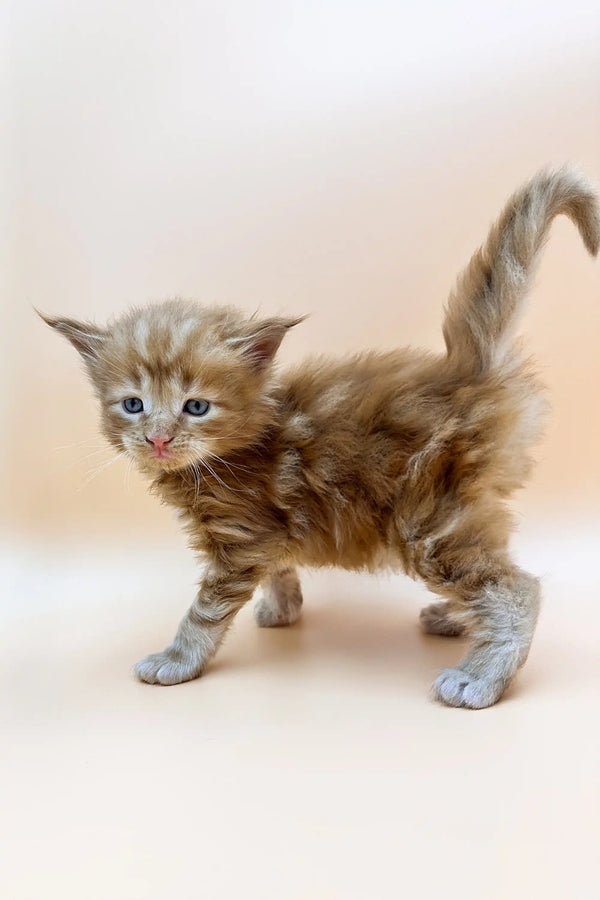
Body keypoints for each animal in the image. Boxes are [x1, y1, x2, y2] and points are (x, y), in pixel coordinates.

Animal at [39, 165, 596, 708]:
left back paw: (479, 676)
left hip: (428, 521)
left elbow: (204, 611)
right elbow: (280, 565)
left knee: (517, 588)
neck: (235, 450)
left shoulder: (240, 537)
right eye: (133, 405)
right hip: (465, 507)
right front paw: (282, 608)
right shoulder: (269, 532)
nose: (157, 439)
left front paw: (177, 660)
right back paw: (456, 619)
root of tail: (468, 370)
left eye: (195, 407)